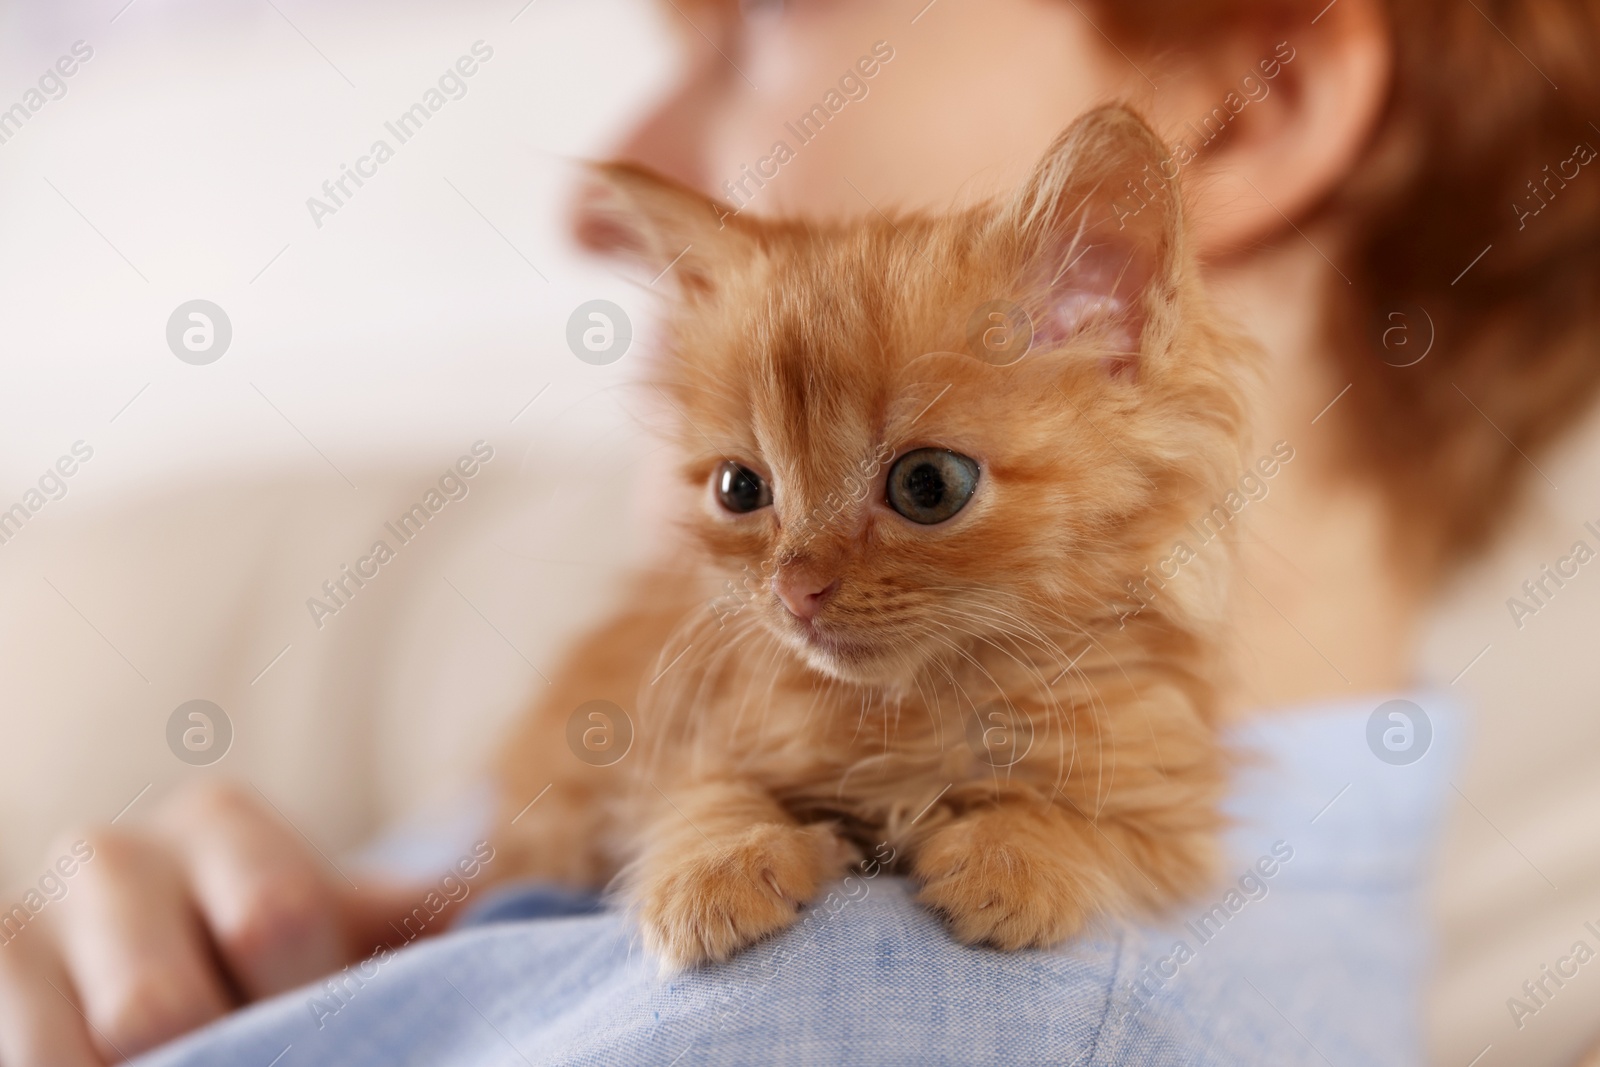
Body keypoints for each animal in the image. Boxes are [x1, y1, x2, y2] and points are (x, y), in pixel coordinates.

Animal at [492, 106, 1254, 966]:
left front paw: (1017, 860)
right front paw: (717, 866)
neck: (912, 710)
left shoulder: (1171, 818)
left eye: (929, 485)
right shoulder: (690, 741)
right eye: (739, 488)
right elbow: (705, 796)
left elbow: (1086, 827)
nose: (793, 587)